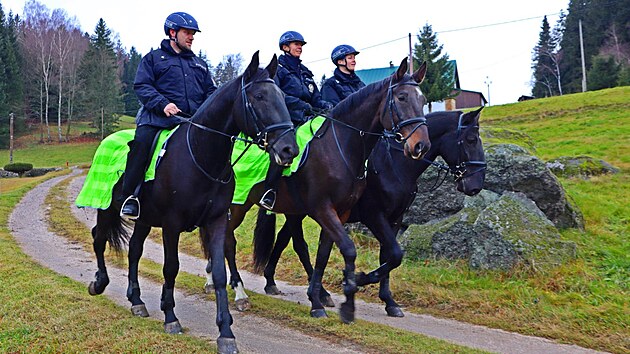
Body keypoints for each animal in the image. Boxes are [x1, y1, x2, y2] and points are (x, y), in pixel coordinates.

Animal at [81, 51, 298, 354]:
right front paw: (171, 317)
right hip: (107, 208)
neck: (202, 156)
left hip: (144, 219)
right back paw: (99, 282)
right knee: (99, 238)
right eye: (259, 97)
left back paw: (136, 301)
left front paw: (226, 332)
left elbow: (218, 273)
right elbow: (171, 267)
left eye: (282, 96)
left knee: (134, 250)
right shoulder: (172, 224)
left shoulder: (216, 221)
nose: (289, 149)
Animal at [210, 58, 432, 324]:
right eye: (401, 97)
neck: (340, 148)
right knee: (228, 241)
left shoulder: (341, 213)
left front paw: (322, 298)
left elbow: (326, 255)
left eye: (422, 100)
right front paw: (345, 299)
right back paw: (237, 290)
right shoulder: (326, 209)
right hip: (238, 204)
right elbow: (349, 249)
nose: (421, 146)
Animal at [254, 106, 486, 316]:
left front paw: (389, 301)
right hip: (300, 212)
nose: (476, 185)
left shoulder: (395, 219)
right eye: (471, 139)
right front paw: (359, 279)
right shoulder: (374, 216)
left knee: (283, 239)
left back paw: (274, 281)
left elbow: (388, 255)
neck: (393, 163)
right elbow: (394, 255)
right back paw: (318, 293)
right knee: (299, 245)